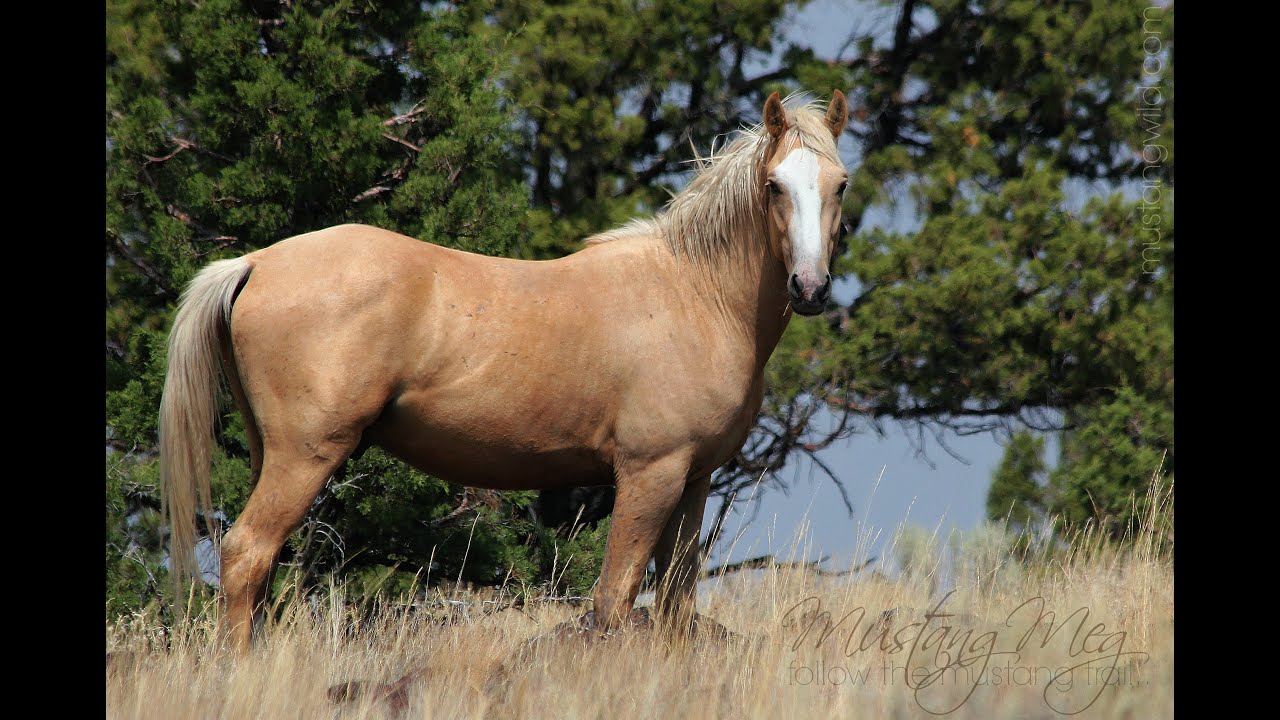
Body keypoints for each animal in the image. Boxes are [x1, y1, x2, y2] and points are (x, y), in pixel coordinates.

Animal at [160, 90, 850, 653]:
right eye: (774, 186)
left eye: (840, 183)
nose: (810, 288)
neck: (694, 293)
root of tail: (255, 263)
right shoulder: (650, 472)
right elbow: (614, 599)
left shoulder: (694, 481)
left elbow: (676, 606)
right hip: (305, 455)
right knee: (246, 555)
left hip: (272, 454)